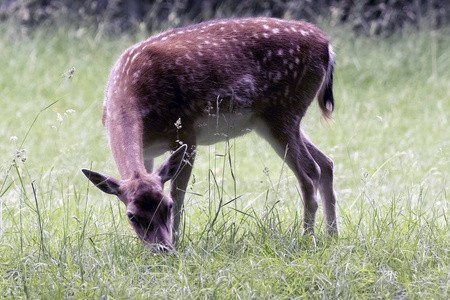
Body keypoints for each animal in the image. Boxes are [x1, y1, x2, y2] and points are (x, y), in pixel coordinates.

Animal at [82, 17, 340, 251]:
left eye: (167, 207)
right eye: (132, 216)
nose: (162, 249)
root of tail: (327, 46)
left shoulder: (186, 133)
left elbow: (178, 192)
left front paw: (178, 240)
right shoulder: (147, 150)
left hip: (284, 111)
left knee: (310, 171)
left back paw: (307, 238)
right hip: (274, 121)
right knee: (326, 163)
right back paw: (332, 235)